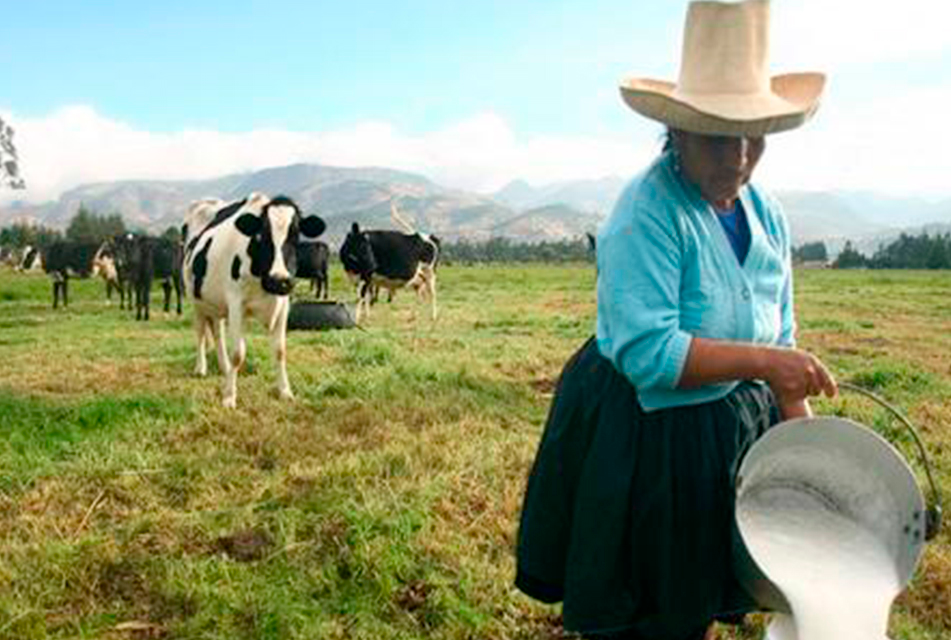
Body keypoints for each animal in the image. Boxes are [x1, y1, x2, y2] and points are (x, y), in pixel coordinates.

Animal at [182, 192, 328, 408]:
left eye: (295, 236)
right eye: (262, 236)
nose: (279, 280)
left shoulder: (283, 304)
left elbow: (280, 351)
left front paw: (285, 391)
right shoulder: (235, 303)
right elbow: (238, 353)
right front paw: (229, 397)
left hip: (216, 303)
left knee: (217, 332)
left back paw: (224, 367)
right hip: (195, 299)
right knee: (200, 332)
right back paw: (201, 368)